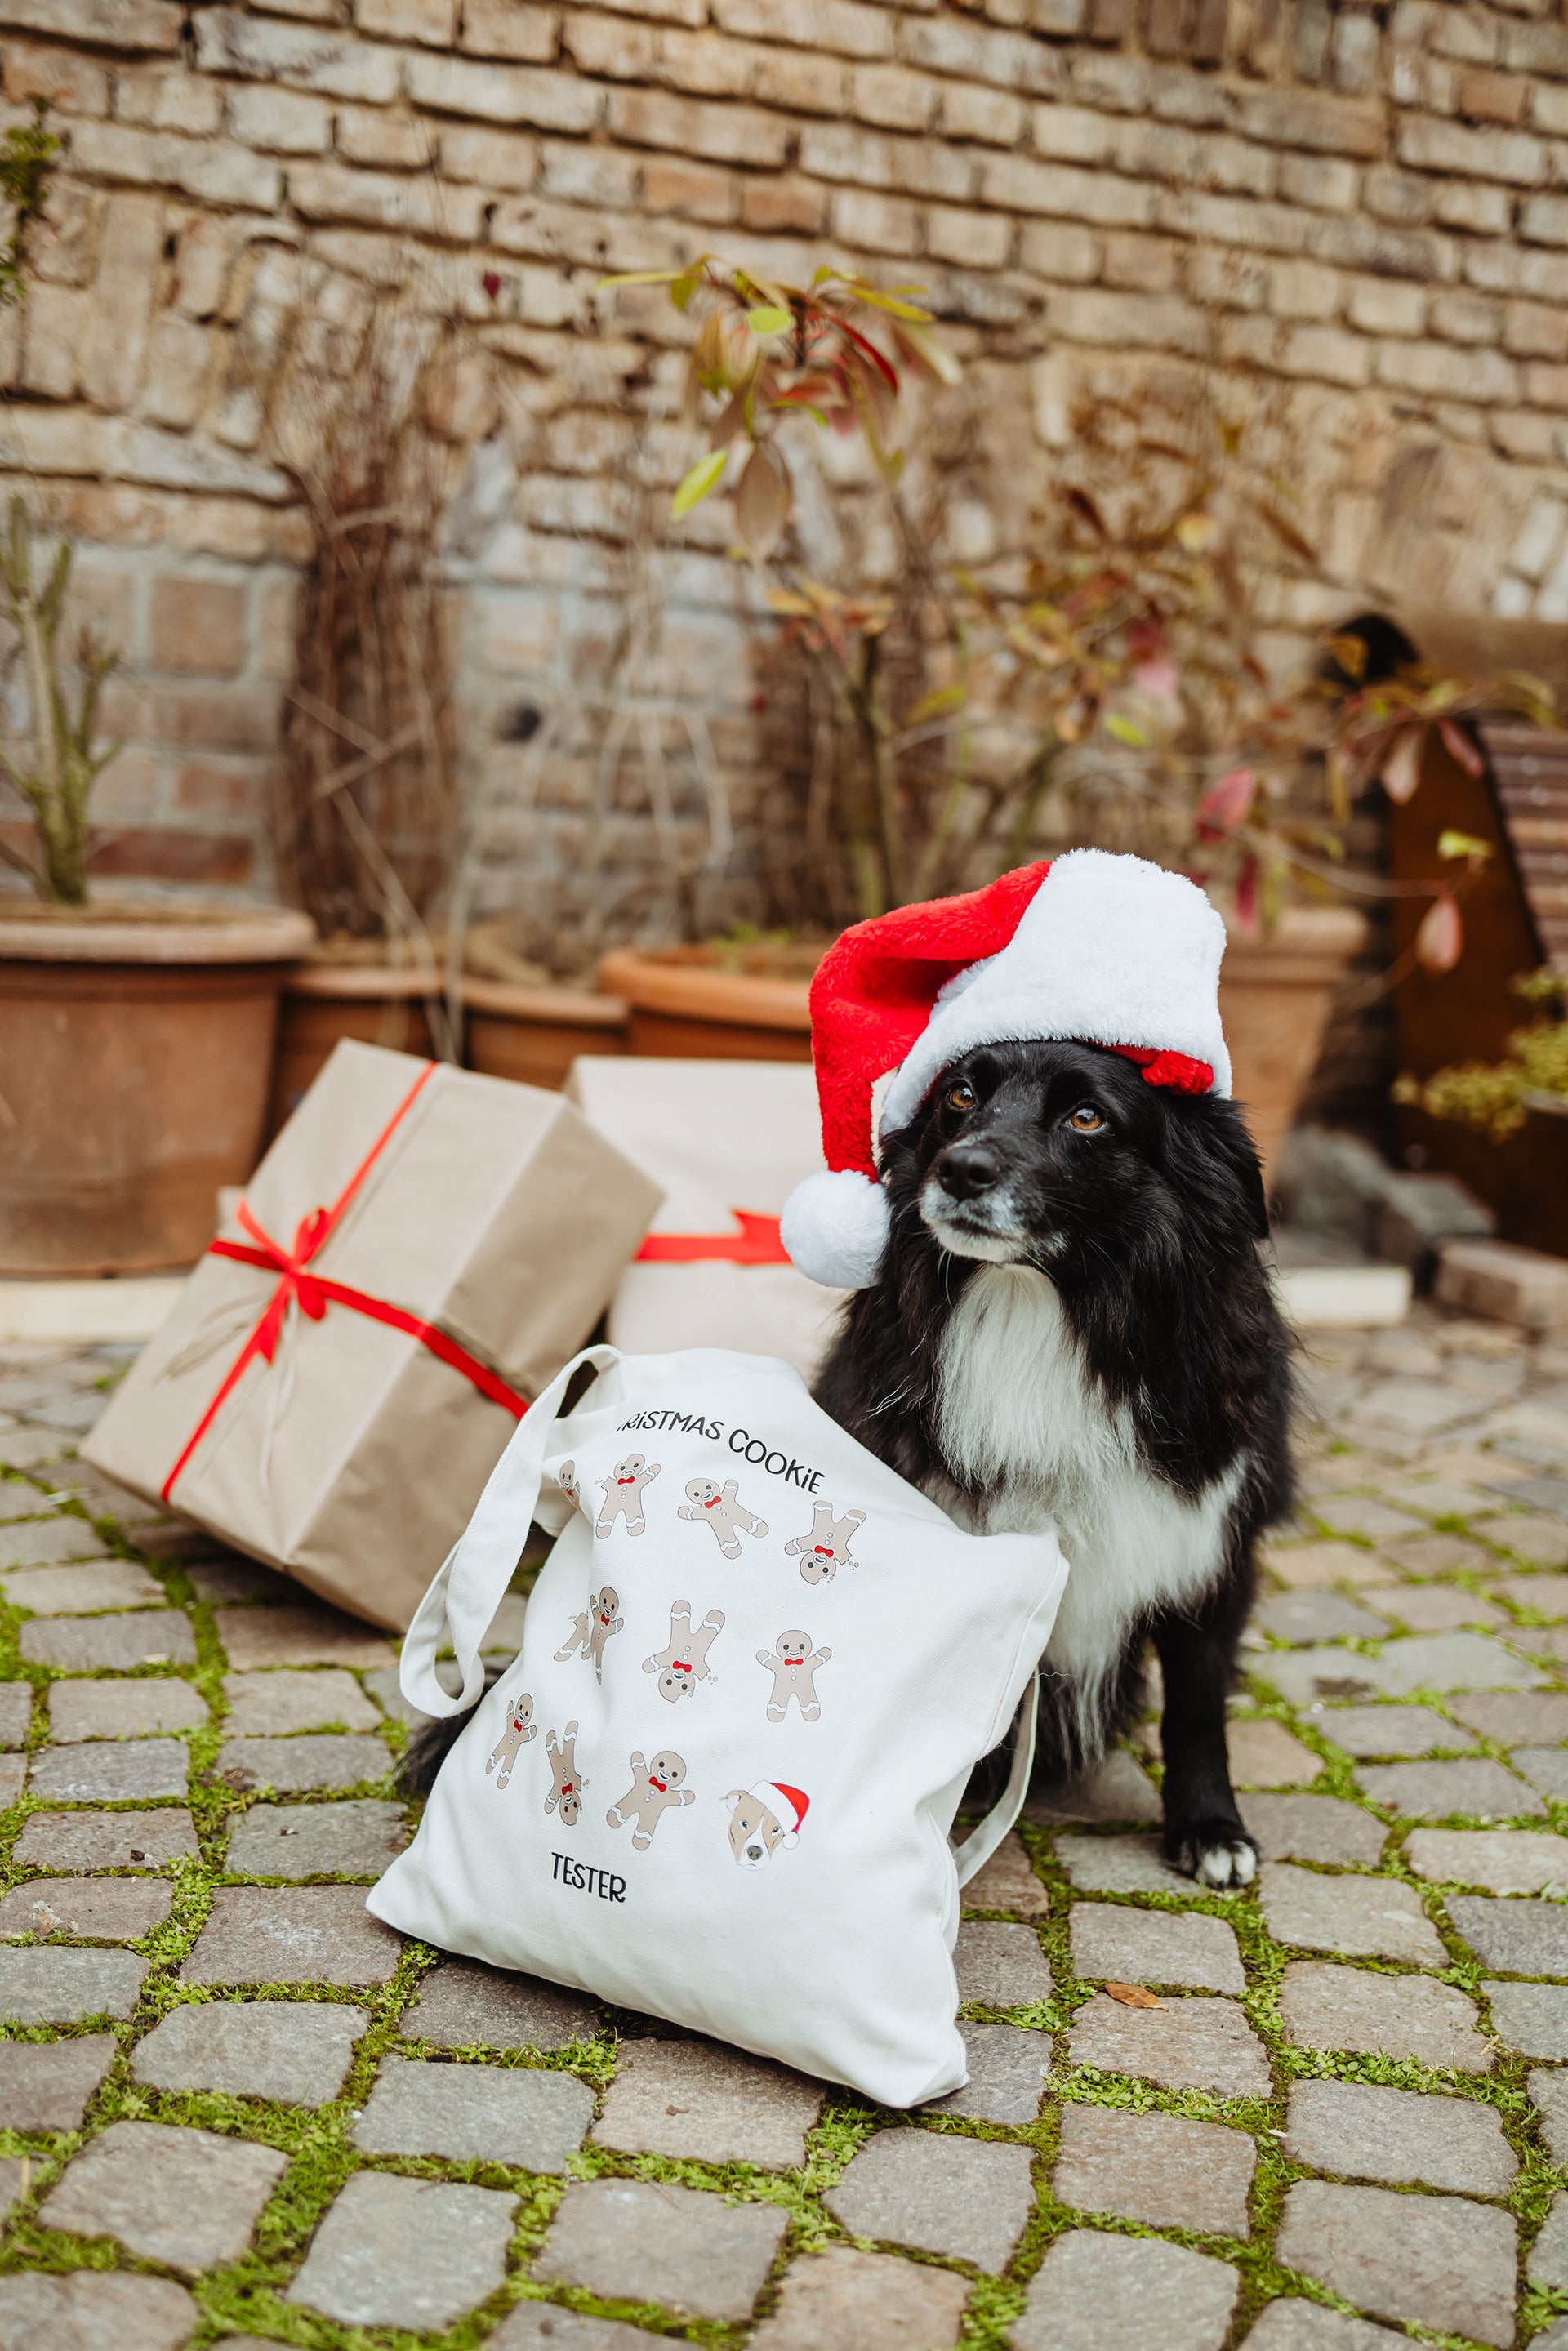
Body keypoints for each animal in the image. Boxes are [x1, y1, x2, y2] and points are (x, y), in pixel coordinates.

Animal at [817, 1030, 1297, 1890]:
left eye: (1087, 1116)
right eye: (961, 1095)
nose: (961, 1169)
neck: (1038, 1305)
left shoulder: (1212, 1547)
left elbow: (1198, 1705)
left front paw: (1211, 1828)